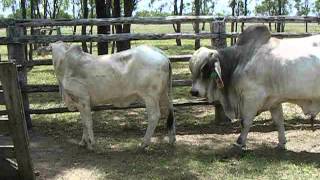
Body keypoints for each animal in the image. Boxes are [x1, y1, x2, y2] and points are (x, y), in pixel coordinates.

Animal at [189, 25, 320, 149]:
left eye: (205, 69)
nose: (194, 92)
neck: (238, 61)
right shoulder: (274, 100)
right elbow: (278, 121)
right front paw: (281, 143)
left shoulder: (251, 98)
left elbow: (245, 122)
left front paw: (239, 143)